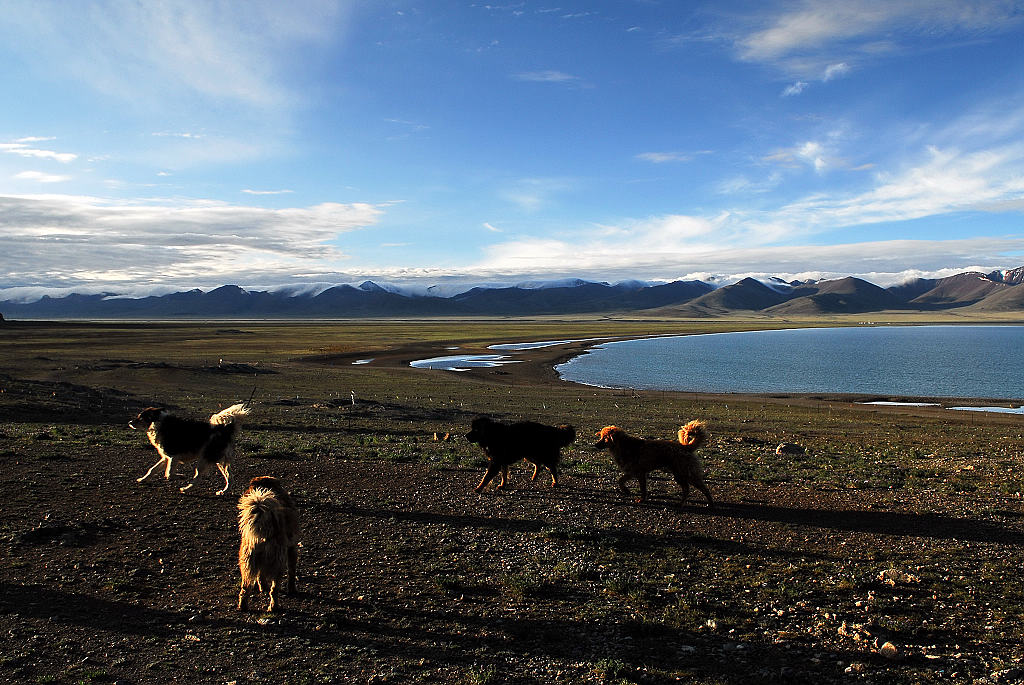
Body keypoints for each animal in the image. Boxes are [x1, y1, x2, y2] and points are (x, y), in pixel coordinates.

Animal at [238, 475, 299, 610]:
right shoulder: (292, 547)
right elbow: (292, 571)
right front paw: (292, 589)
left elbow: (260, 576)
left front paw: (262, 587)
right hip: (278, 564)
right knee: (274, 589)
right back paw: (274, 606)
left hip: (247, 563)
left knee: (244, 589)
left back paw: (243, 606)